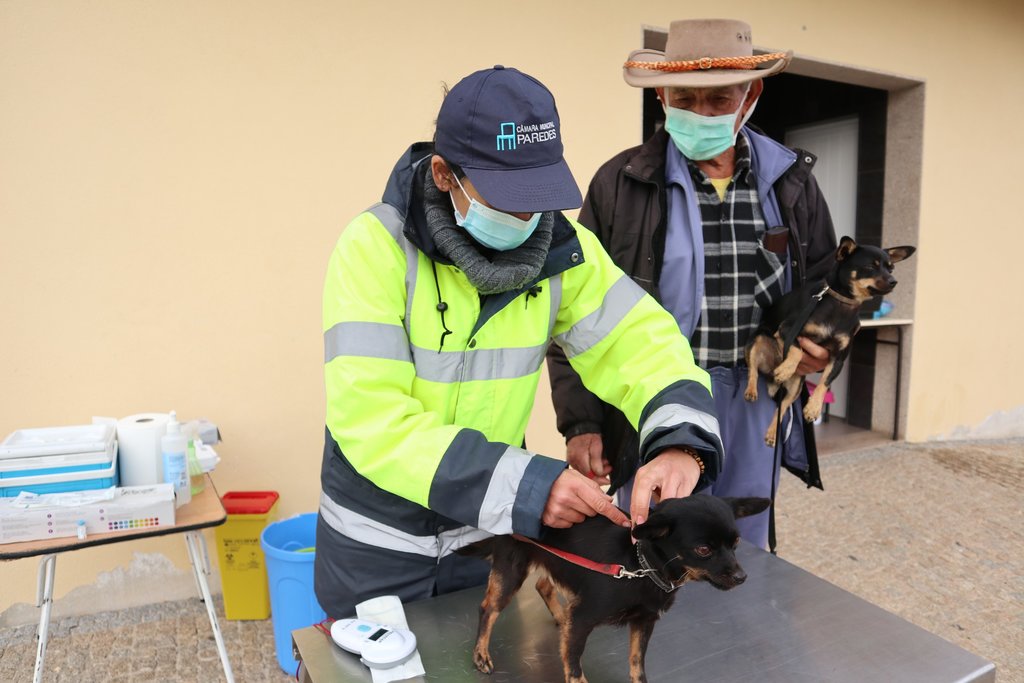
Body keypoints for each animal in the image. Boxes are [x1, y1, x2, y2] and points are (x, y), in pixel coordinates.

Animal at [456, 493, 770, 683]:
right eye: (703, 549)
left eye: (736, 543)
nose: (741, 576)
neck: (640, 565)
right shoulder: (583, 618)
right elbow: (573, 662)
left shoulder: (644, 622)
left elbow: (637, 661)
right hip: (512, 570)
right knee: (488, 609)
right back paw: (481, 654)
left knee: (545, 585)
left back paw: (560, 616)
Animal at [741, 236, 917, 448]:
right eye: (870, 267)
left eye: (891, 269)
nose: (894, 282)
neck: (842, 304)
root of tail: (768, 373)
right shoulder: (787, 329)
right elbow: (798, 350)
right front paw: (785, 369)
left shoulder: (838, 358)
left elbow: (825, 381)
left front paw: (814, 408)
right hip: (757, 340)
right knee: (752, 369)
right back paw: (753, 389)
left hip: (795, 388)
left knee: (781, 409)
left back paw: (772, 433)